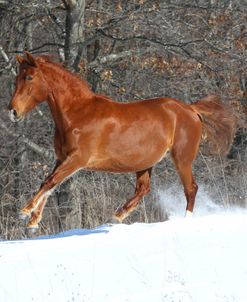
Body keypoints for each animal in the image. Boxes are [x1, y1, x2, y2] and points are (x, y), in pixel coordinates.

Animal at [7, 52, 235, 230]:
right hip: (145, 163)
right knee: (143, 189)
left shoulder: (77, 159)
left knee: (191, 188)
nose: (12, 111)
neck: (77, 113)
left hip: (182, 159)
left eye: (29, 77)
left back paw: (184, 220)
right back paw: (116, 216)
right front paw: (33, 220)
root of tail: (191, 109)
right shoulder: (62, 158)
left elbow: (50, 181)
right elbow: (51, 184)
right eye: (17, 78)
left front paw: (24, 212)